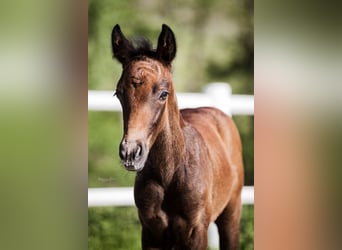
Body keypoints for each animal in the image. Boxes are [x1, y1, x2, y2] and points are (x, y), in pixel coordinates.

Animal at [111, 23, 243, 250]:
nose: (130, 152)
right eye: (119, 94)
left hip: (231, 214)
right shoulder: (151, 233)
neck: (170, 174)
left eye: (163, 93)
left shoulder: (196, 232)